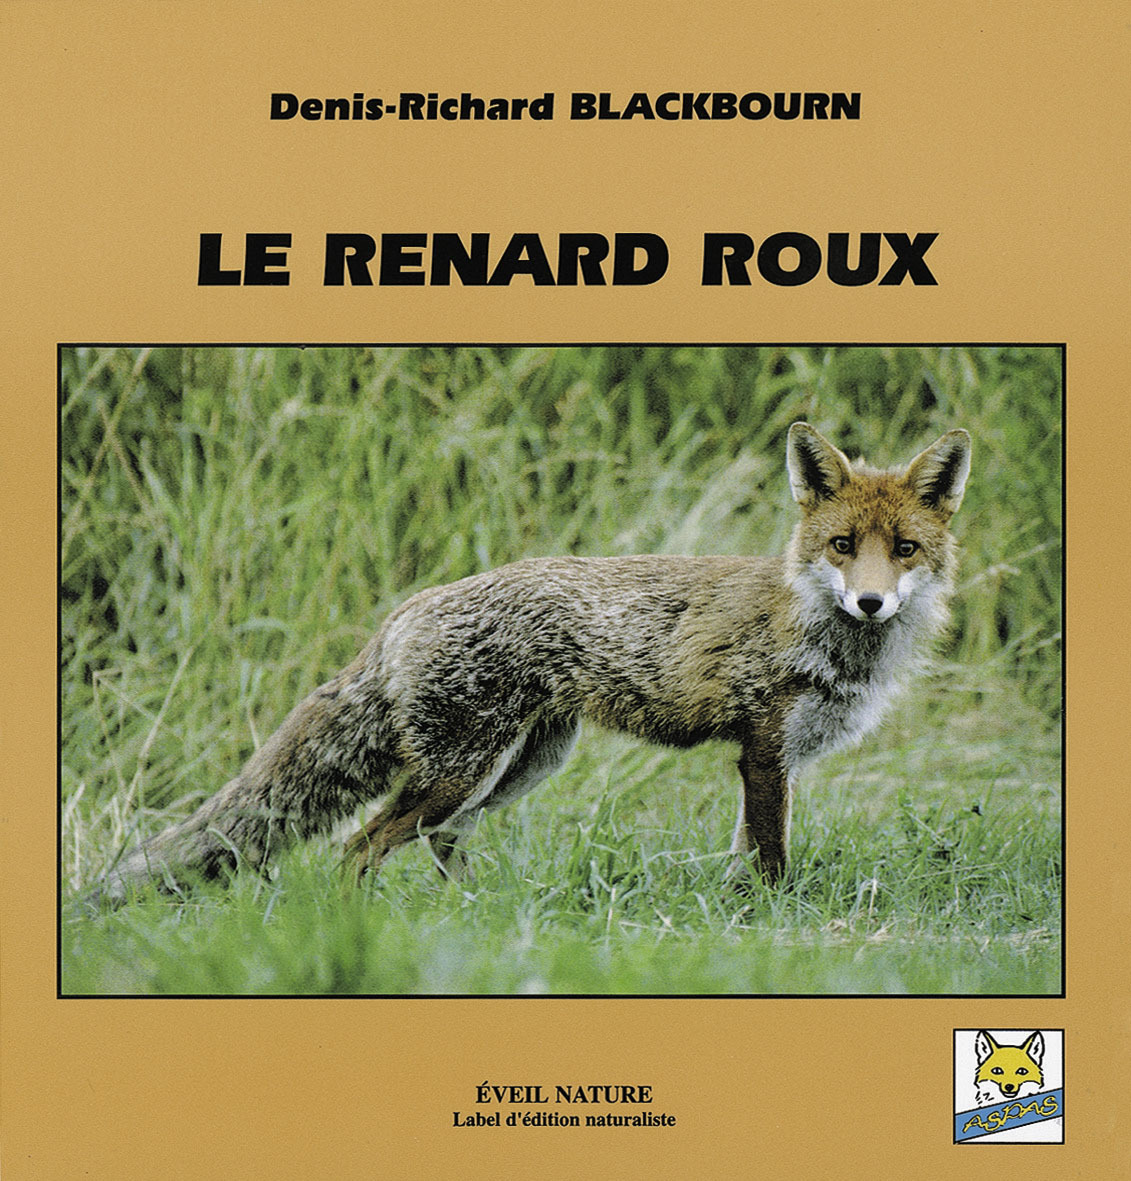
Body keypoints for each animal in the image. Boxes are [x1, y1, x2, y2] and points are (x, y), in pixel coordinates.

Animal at [84, 421, 971, 907]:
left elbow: (746, 857)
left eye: (903, 549)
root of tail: (405, 608)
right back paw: (362, 926)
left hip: (522, 764)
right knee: (359, 846)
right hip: (463, 768)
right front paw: (770, 925)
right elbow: (772, 861)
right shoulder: (761, 749)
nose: (869, 602)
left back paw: (479, 918)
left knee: (441, 840)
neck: (822, 632)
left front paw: (742, 920)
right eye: (841, 545)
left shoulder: (778, 761)